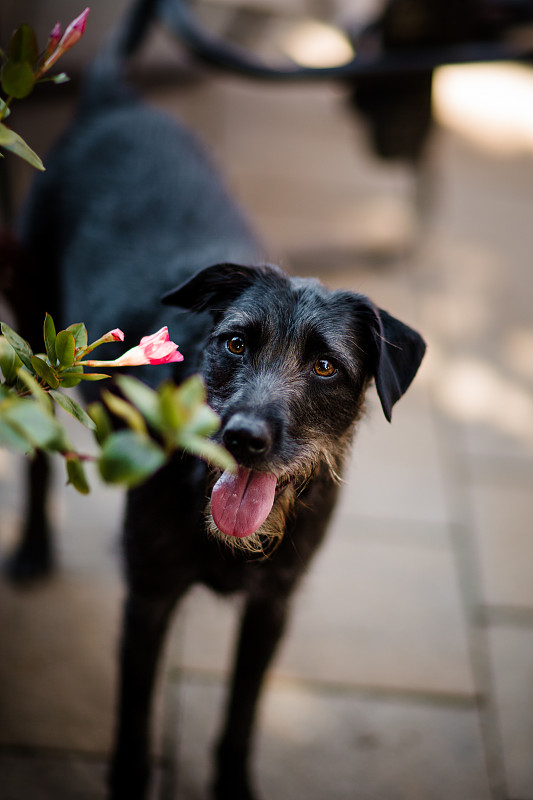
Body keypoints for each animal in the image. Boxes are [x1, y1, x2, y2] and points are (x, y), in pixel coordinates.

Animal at [13, 1, 424, 800]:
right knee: (37, 443)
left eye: (325, 367)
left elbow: (241, 712)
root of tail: (116, 101)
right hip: (33, 327)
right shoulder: (147, 601)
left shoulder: (273, 607)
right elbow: (133, 730)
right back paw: (33, 548)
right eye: (234, 343)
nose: (243, 439)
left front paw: (234, 781)